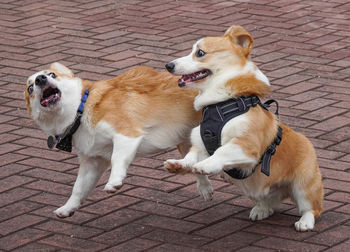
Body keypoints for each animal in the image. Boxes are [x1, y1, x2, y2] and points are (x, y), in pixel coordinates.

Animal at [24, 62, 213, 218]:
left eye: (51, 75)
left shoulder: (126, 135)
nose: (40, 79)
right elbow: (78, 188)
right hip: (186, 139)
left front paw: (114, 182)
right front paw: (67, 208)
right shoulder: (93, 161)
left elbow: (117, 159)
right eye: (30, 87)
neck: (80, 111)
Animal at [163, 26, 322, 232]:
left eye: (200, 53)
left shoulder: (246, 146)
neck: (221, 104)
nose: (169, 65)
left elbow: (222, 151)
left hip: (304, 185)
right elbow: (191, 157)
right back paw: (261, 209)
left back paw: (305, 222)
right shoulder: (201, 144)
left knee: (312, 208)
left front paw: (205, 166)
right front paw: (180, 166)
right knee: (268, 201)